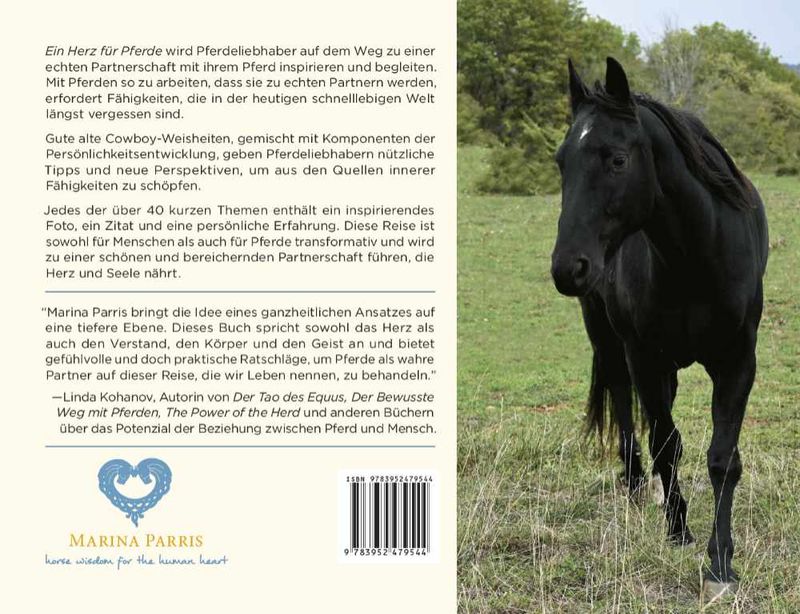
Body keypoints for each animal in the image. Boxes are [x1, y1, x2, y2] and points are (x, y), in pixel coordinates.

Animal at [550, 57, 768, 600]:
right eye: (562, 161)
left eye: (617, 159)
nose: (567, 268)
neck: (696, 258)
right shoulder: (643, 356)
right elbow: (666, 444)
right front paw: (679, 531)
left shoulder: (738, 361)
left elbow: (722, 458)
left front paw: (721, 565)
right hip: (612, 343)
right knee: (626, 408)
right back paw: (635, 486)